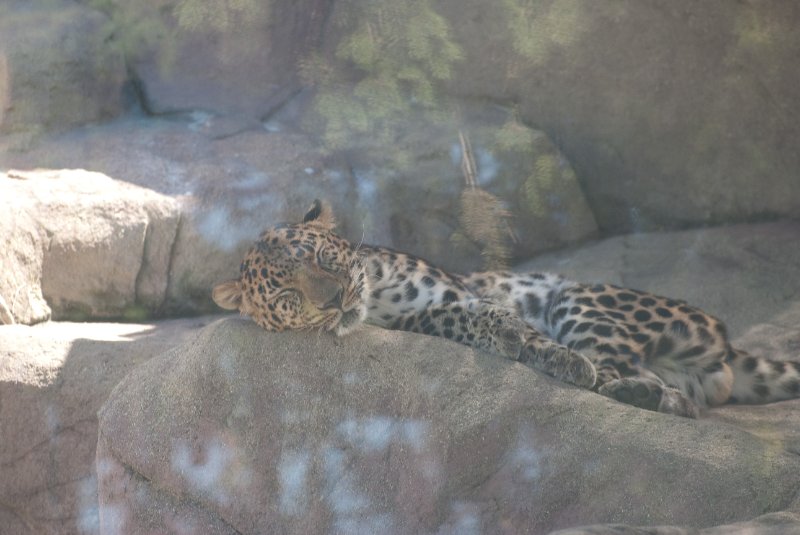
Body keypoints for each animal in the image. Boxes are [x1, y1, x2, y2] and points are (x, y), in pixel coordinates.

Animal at [212, 200, 800, 418]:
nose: (336, 300)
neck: (376, 291)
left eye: (320, 256)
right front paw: (512, 337)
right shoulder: (426, 317)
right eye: (287, 298)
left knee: (619, 367)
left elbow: (498, 312)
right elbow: (463, 317)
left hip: (579, 297)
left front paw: (550, 353)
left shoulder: (455, 288)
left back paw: (624, 385)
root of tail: (727, 347)